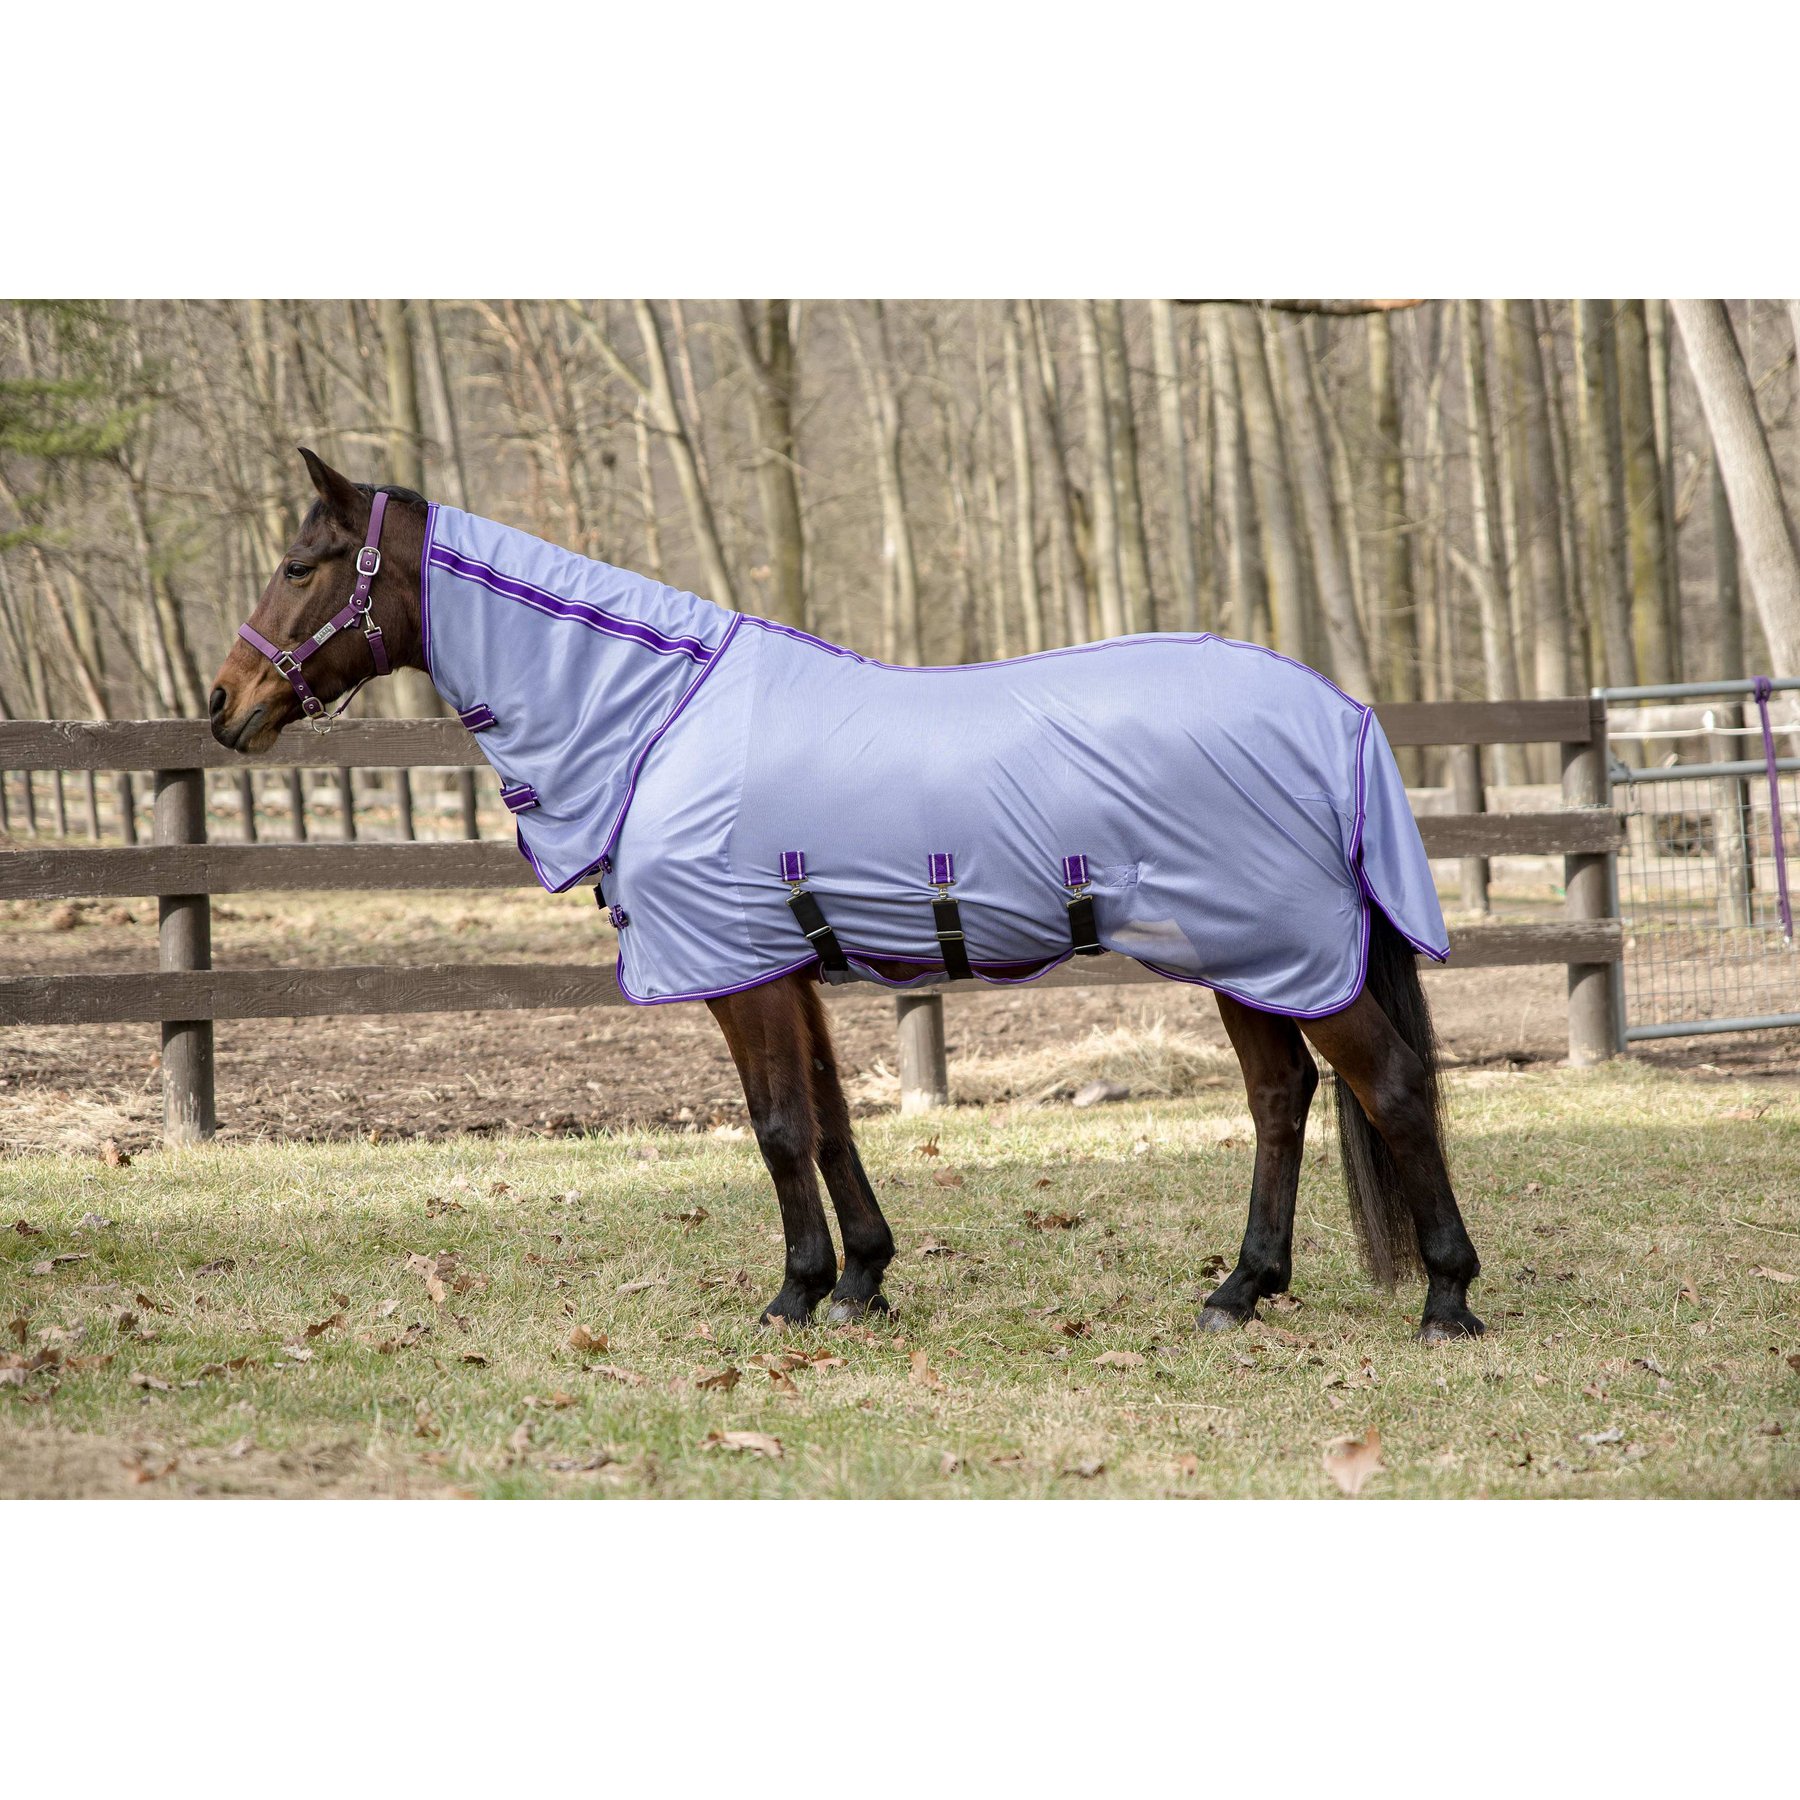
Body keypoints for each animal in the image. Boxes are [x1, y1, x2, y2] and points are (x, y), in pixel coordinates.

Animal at [209, 449, 1485, 1341]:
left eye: (298, 566)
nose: (223, 705)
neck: (658, 717)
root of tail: (1337, 713)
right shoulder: (786, 968)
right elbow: (826, 1119)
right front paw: (864, 1281)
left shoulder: (738, 973)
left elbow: (777, 1127)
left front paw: (794, 1294)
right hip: (1245, 957)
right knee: (1283, 1098)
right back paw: (1241, 1289)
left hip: (1278, 951)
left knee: (1390, 1087)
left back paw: (1447, 1299)